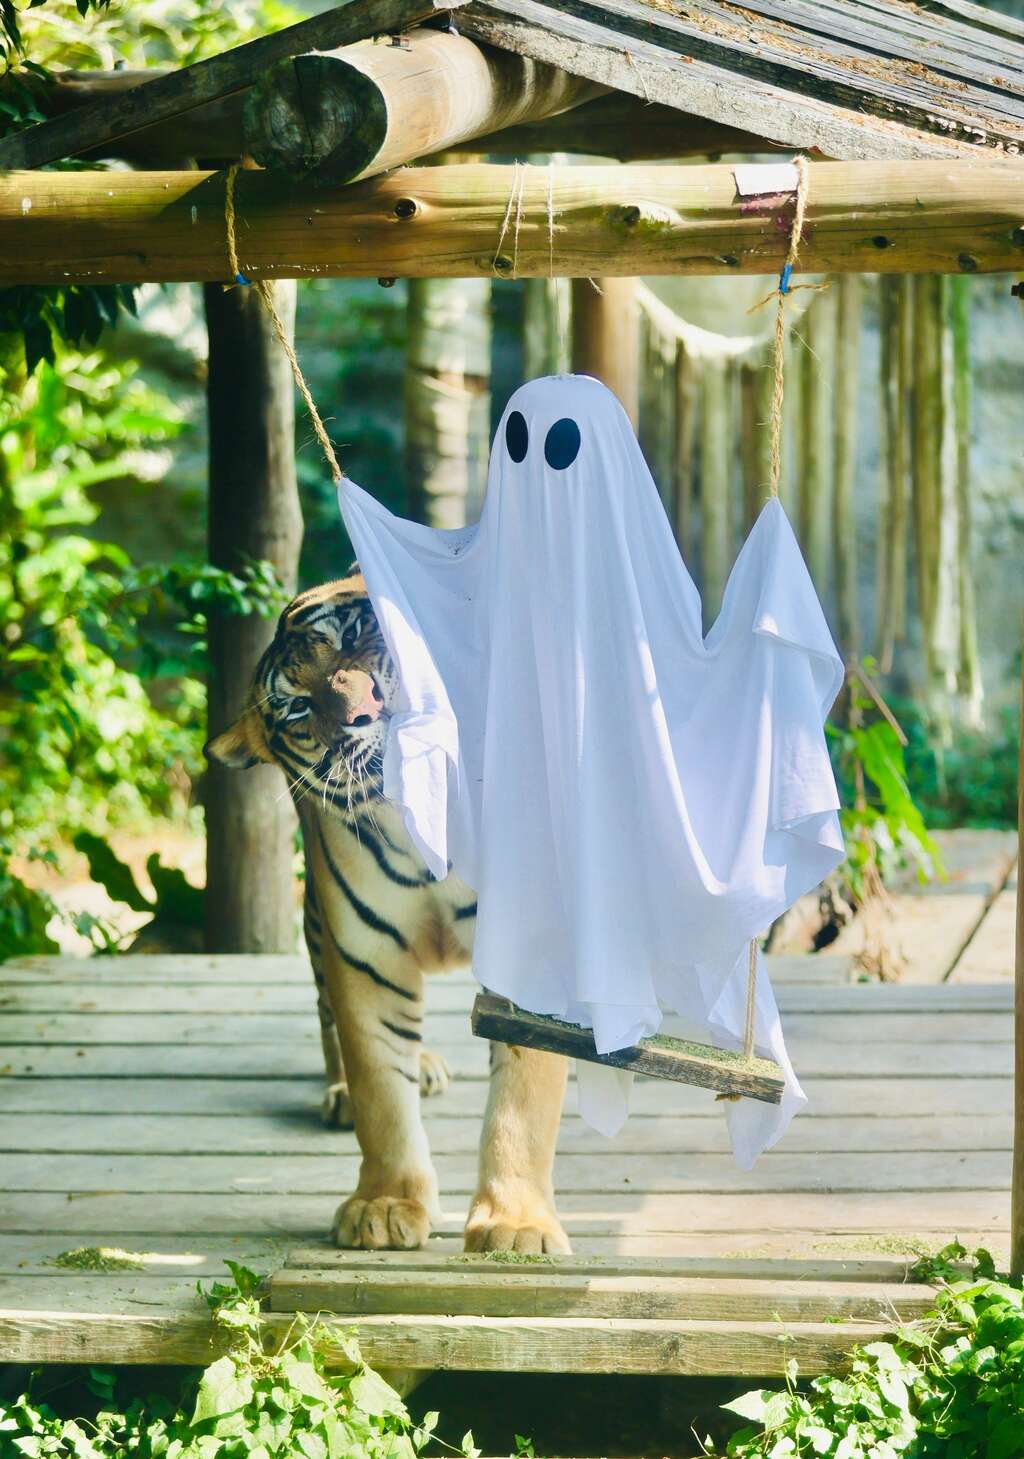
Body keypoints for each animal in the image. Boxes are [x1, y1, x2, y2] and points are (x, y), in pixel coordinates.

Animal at [205, 574, 571, 1254]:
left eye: (354, 634)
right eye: (298, 707)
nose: (365, 710)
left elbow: (523, 1102)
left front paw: (515, 1226)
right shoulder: (365, 959)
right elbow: (380, 1090)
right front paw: (385, 1204)